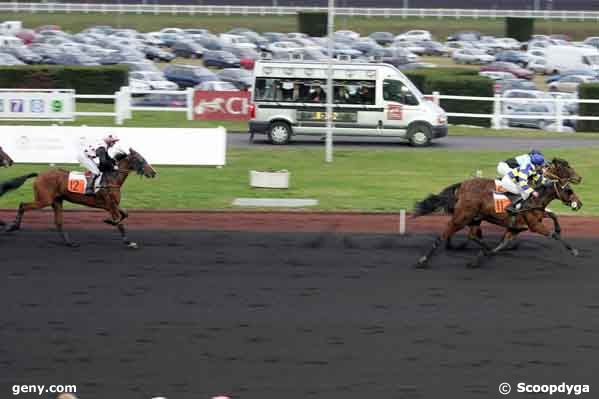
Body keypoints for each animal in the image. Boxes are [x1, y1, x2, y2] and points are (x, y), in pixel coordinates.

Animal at [5, 149, 156, 247]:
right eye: (141, 159)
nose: (153, 173)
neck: (112, 179)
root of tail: (39, 175)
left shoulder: (113, 205)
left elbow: (125, 215)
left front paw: (109, 222)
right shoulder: (110, 205)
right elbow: (120, 222)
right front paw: (128, 241)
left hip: (57, 201)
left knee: (58, 222)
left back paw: (69, 242)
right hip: (44, 200)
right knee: (23, 205)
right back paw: (12, 227)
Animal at [414, 159, 584, 268]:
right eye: (569, 190)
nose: (579, 178)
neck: (536, 196)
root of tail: (462, 185)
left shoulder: (520, 225)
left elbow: (503, 243)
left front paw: (480, 258)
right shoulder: (534, 224)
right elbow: (553, 234)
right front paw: (574, 250)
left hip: (474, 218)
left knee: (473, 235)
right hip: (462, 217)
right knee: (444, 235)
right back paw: (423, 260)